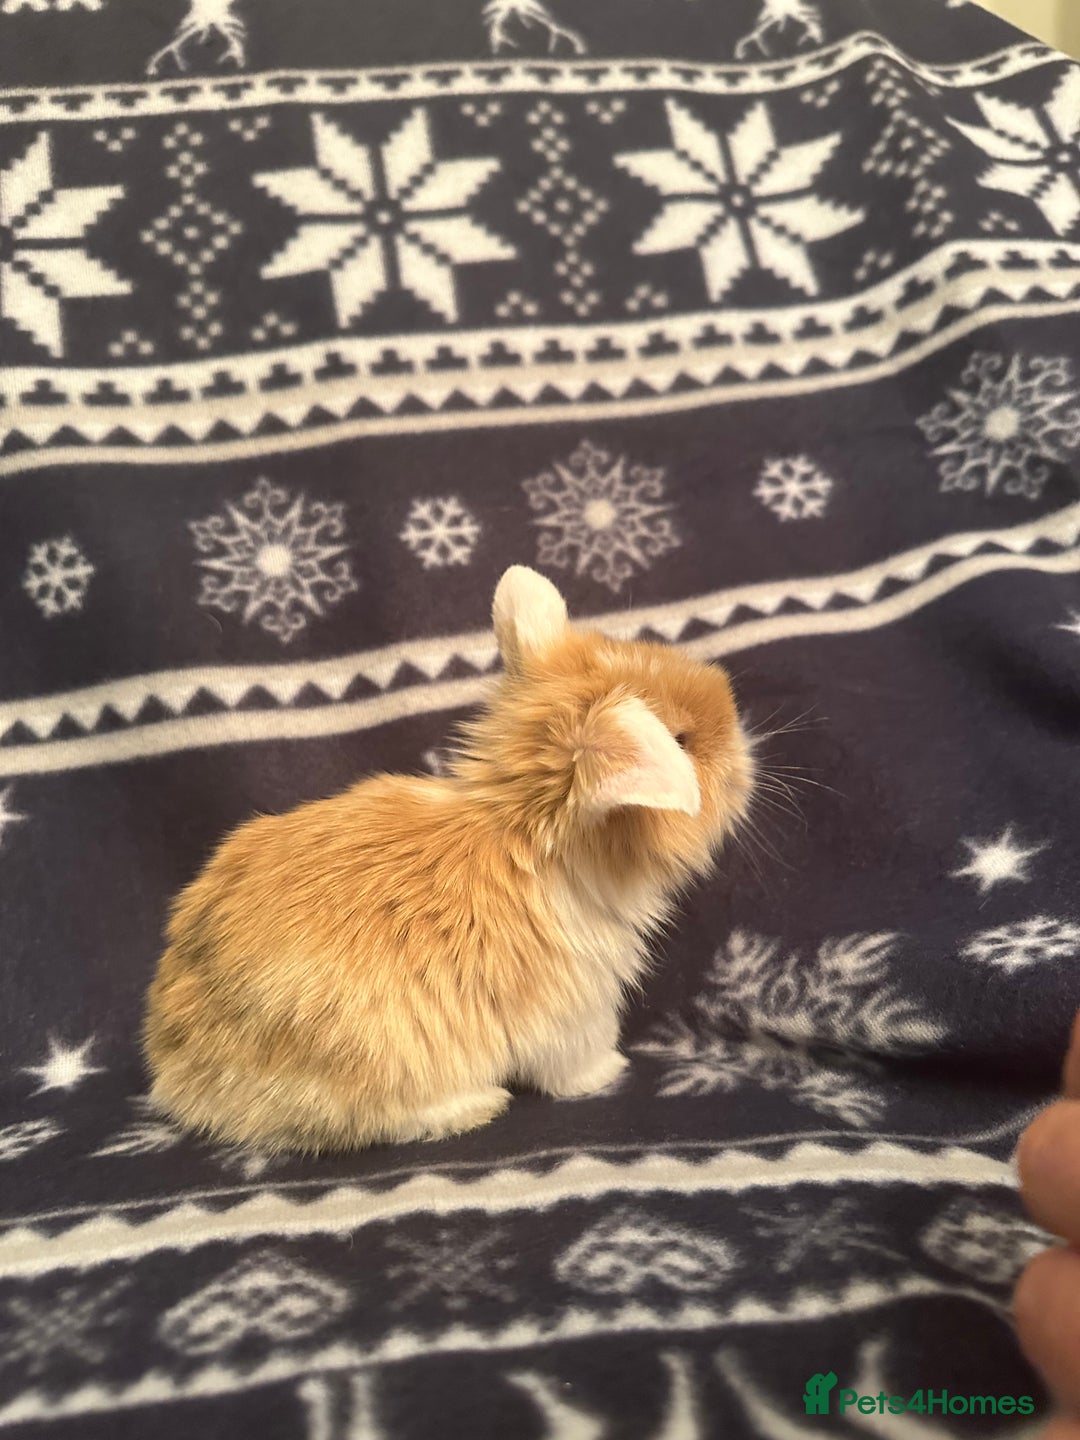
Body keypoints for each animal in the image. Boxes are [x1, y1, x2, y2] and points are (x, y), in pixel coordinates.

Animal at [143, 565, 754, 1153]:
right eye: (681, 740)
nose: (738, 724)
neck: (523, 834)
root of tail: (181, 1075)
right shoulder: (572, 1010)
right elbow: (572, 1062)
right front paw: (608, 1072)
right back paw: (478, 1105)